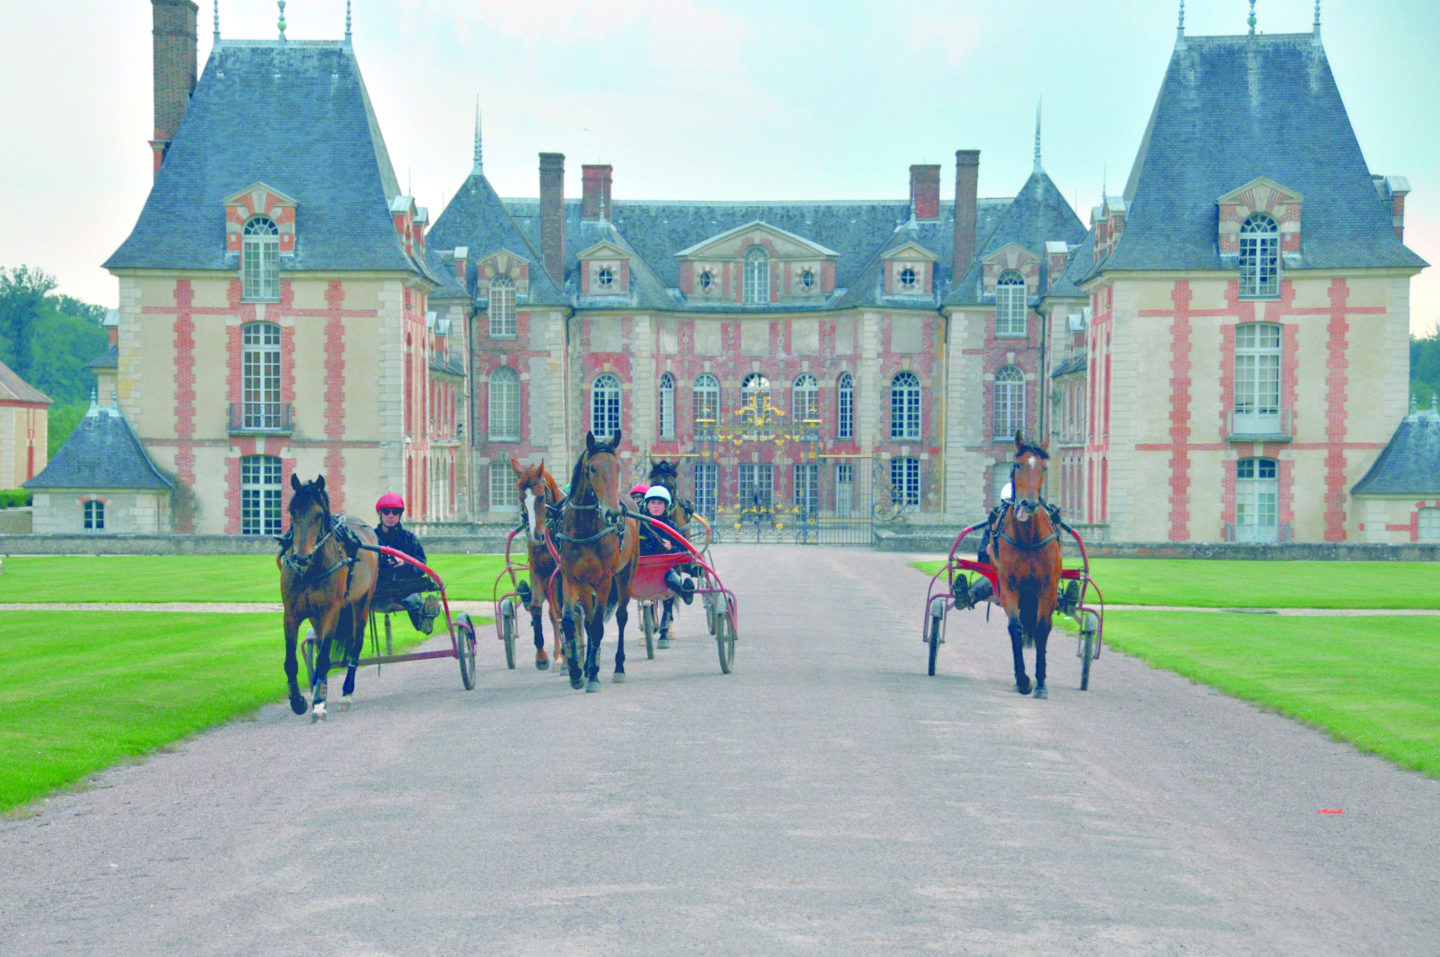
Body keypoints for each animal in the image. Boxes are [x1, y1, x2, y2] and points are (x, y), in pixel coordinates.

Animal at [277, 474, 380, 719]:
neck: (310, 570)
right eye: (292, 511)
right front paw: (298, 700)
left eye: (318, 514)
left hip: (361, 603)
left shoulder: (332, 611)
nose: (301, 557)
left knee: (355, 645)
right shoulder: (291, 613)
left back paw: (345, 693)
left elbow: (324, 657)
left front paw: (318, 703)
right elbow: (291, 661)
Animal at [547, 428, 639, 690]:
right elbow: (571, 620)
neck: (585, 527)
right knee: (587, 619)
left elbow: (598, 626)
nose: (613, 513)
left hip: (625, 575)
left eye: (617, 467)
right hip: (586, 584)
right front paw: (577, 672)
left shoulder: (605, 578)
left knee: (621, 617)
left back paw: (618, 668)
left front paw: (594, 675)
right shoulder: (571, 576)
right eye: (593, 468)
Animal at [984, 431, 1065, 693]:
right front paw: (1022, 679)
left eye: (1043, 467)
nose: (1028, 503)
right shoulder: (1010, 585)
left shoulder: (1047, 586)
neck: (1028, 537)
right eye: (1018, 464)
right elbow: (1015, 627)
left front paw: (1040, 682)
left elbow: (1042, 628)